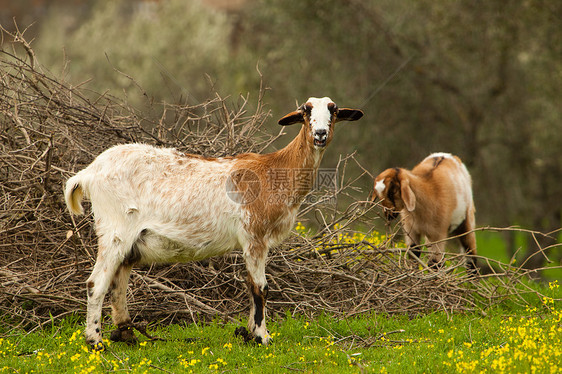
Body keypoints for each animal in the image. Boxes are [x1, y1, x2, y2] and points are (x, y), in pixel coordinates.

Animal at [64, 95, 364, 348]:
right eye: (306, 110)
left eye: (334, 110)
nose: (320, 134)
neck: (275, 169)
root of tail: (87, 174)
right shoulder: (254, 235)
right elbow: (260, 287)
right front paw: (262, 337)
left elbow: (249, 284)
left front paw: (248, 333)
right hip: (115, 228)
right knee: (96, 283)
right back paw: (95, 341)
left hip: (130, 241)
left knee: (118, 282)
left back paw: (126, 334)